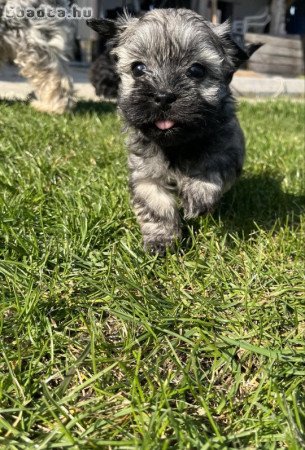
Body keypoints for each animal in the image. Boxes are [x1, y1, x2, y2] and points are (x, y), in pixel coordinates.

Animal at [86, 8, 260, 253]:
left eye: (196, 70)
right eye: (138, 68)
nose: (163, 95)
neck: (176, 145)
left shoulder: (228, 149)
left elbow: (211, 165)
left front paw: (198, 194)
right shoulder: (146, 175)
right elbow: (155, 205)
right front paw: (161, 241)